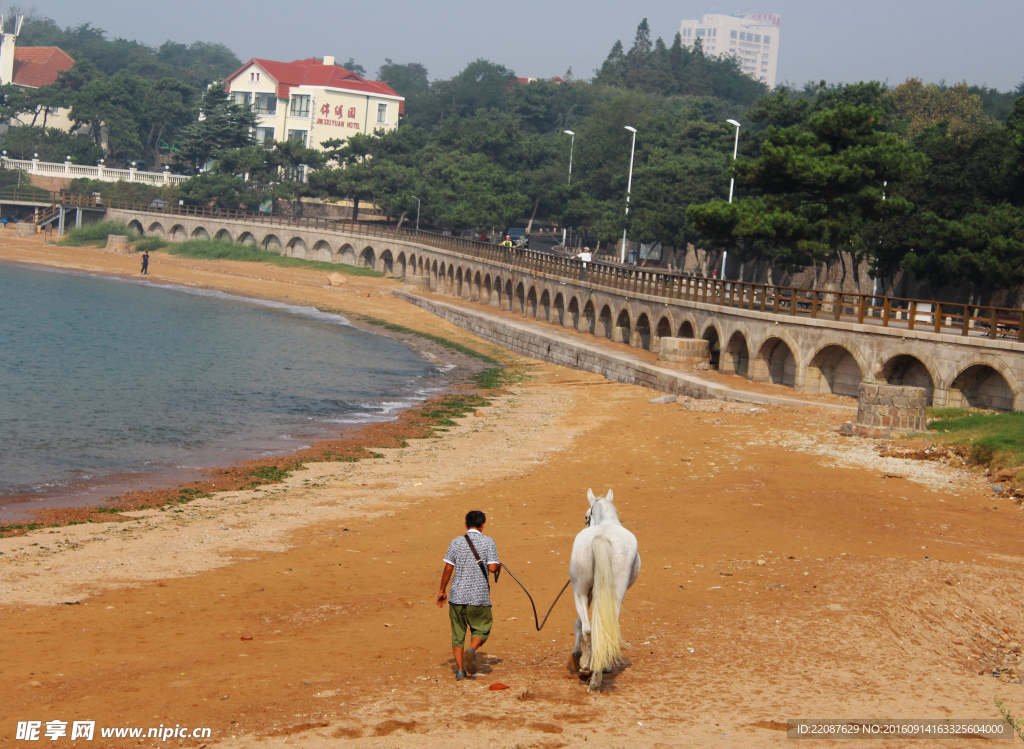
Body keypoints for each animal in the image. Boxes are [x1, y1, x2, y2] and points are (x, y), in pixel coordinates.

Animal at [569, 489, 638, 692]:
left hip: (580, 591)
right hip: (615, 594)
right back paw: (598, 674)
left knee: (589, 628)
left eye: (586, 516)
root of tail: (602, 536)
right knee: (606, 628)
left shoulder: (590, 592)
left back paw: (587, 669)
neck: (607, 522)